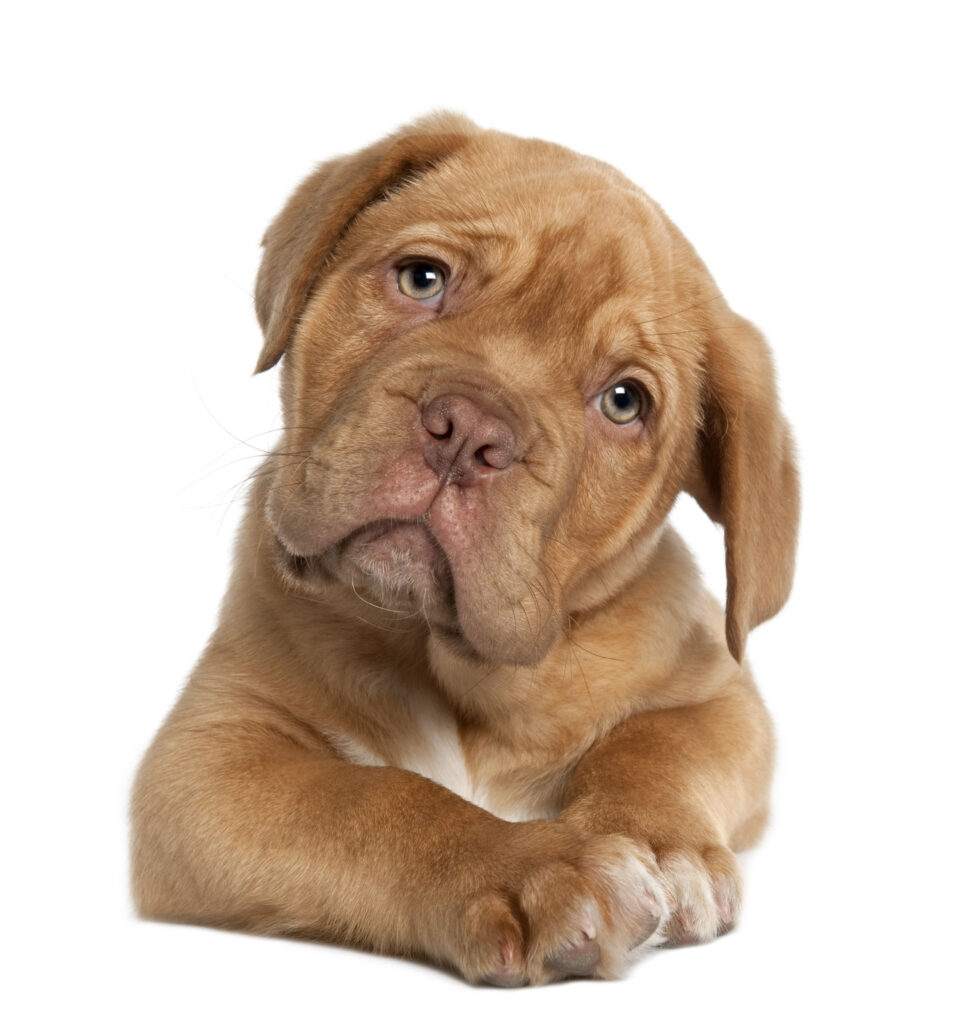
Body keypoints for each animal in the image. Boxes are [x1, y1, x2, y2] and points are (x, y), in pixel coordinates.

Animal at [131, 112, 798, 983]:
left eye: (623, 401)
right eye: (422, 279)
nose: (470, 429)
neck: (444, 665)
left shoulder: (720, 696)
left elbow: (659, 746)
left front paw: (659, 843)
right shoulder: (208, 758)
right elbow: (375, 800)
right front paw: (531, 867)